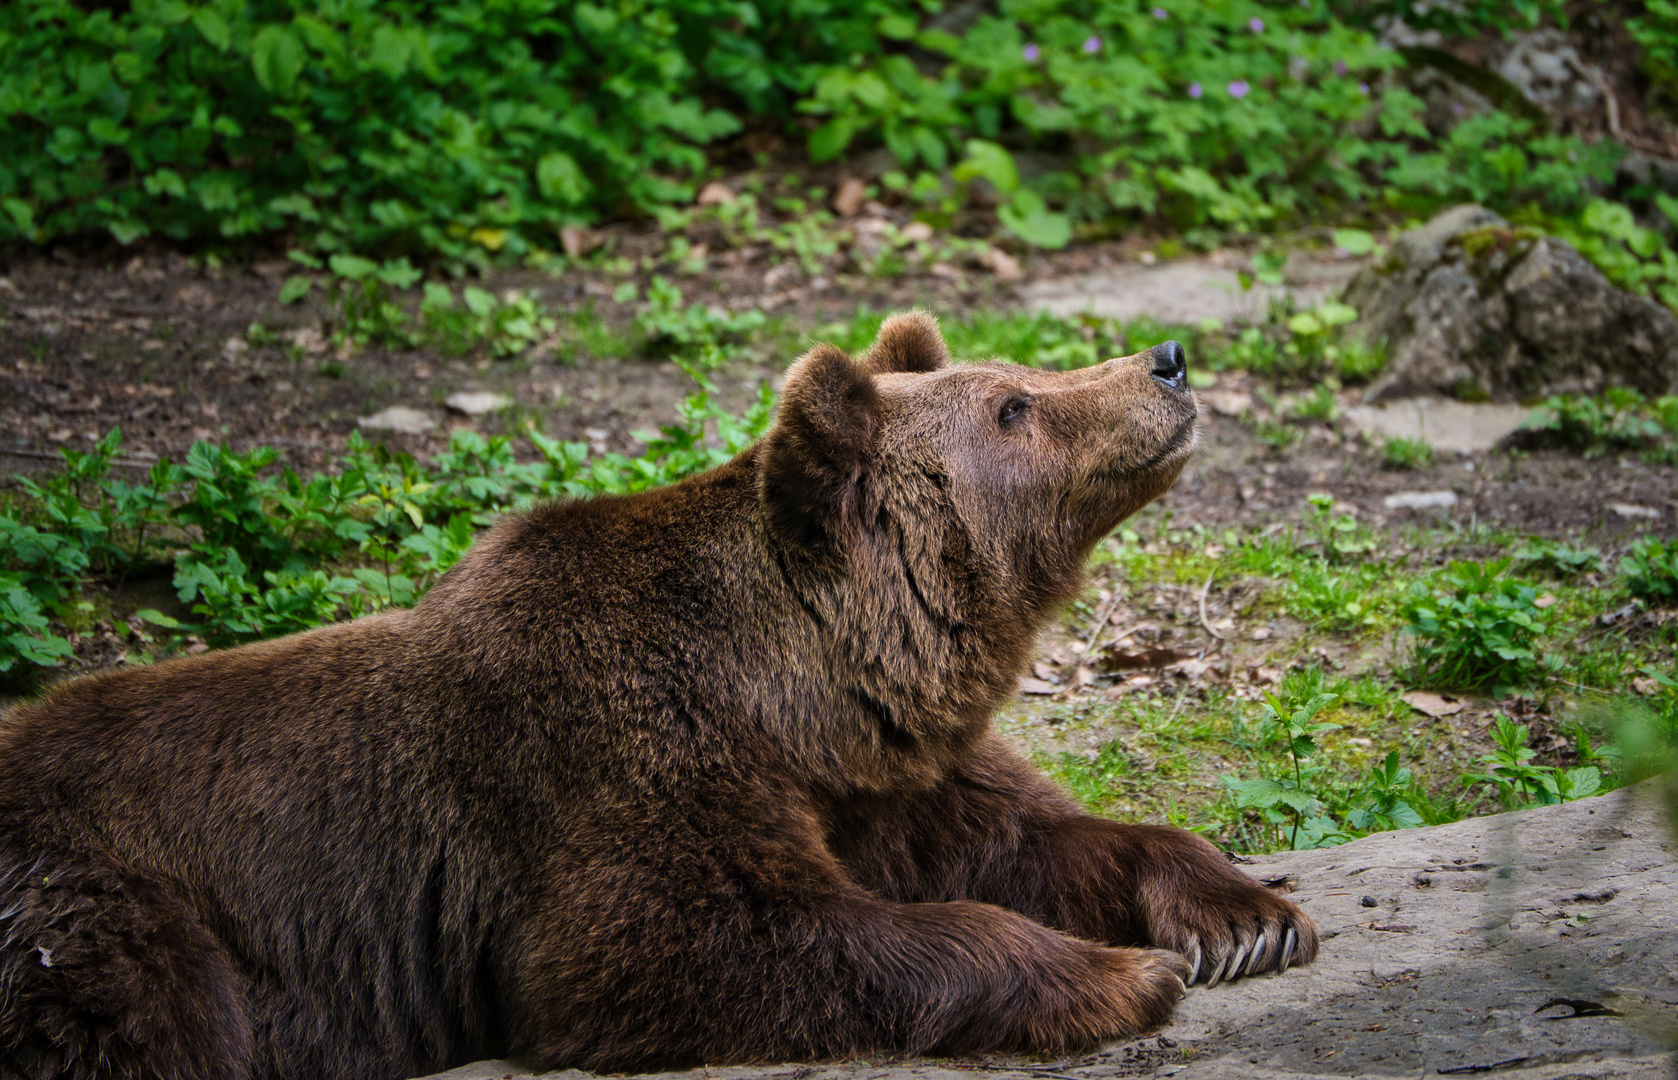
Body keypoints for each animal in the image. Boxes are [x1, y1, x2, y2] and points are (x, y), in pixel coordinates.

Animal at [0, 311, 1308, 1080]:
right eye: (1015, 406)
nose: (1166, 361)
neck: (795, 691)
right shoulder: (615, 764)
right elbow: (696, 936)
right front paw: (1116, 975)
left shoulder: (887, 773)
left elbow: (1032, 834)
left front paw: (1243, 914)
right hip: (96, 906)